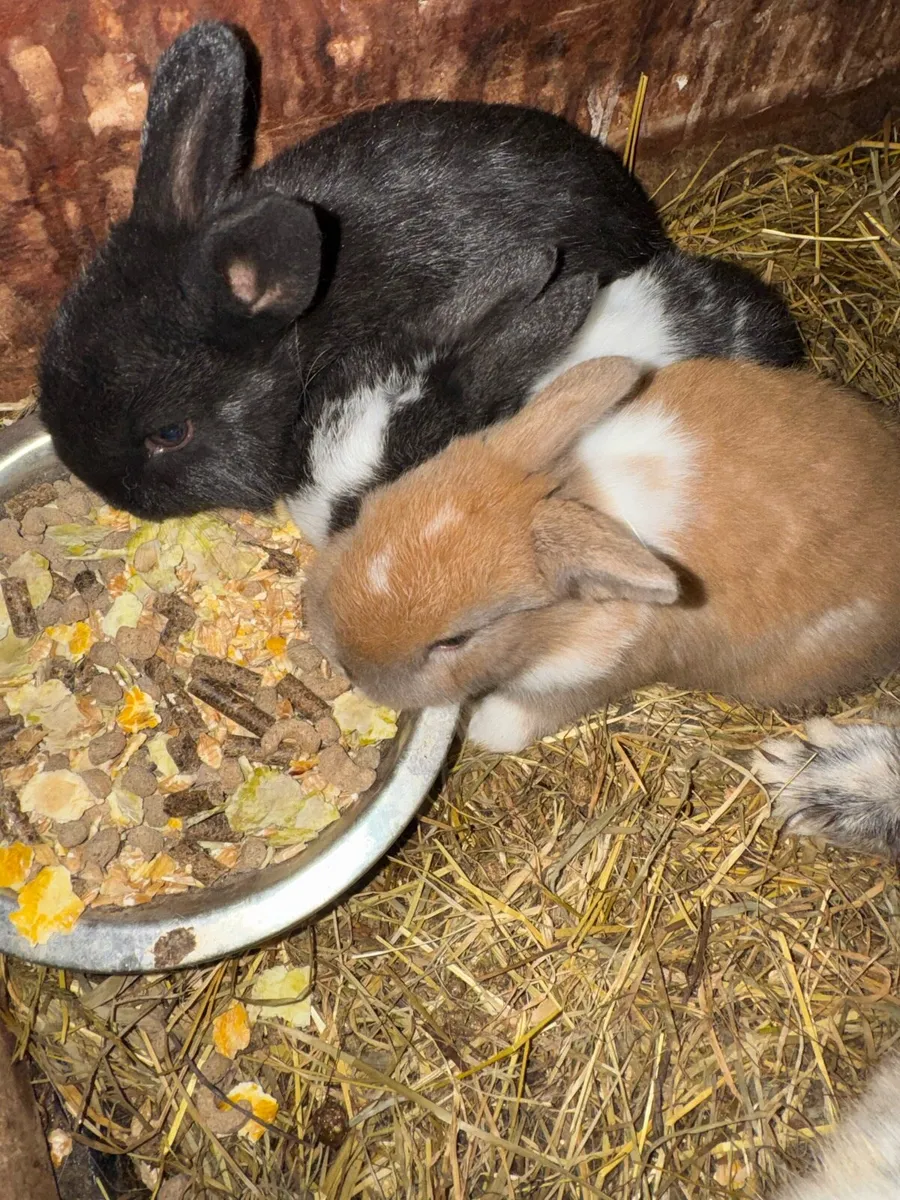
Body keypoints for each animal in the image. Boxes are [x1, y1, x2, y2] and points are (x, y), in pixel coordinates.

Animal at [305, 355, 900, 767]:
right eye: (370, 509)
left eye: (455, 640)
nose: (347, 665)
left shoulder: (609, 669)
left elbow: (530, 712)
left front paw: (482, 726)